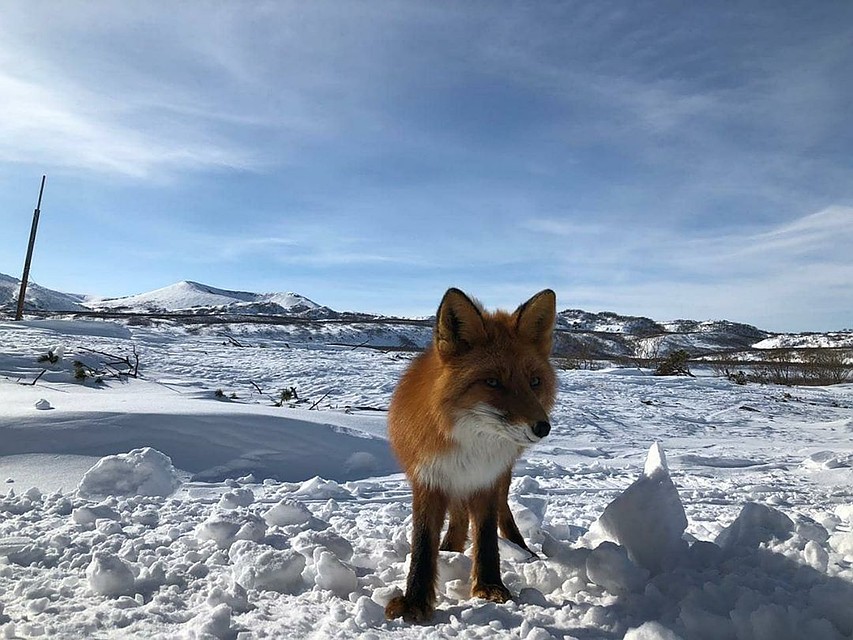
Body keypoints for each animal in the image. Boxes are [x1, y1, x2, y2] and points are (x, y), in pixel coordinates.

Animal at [382, 288, 556, 624]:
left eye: (534, 382)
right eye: (492, 382)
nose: (542, 427)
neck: (472, 445)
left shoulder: (486, 480)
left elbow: (487, 538)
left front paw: (490, 586)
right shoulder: (429, 479)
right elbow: (423, 543)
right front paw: (415, 601)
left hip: (502, 478)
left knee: (502, 513)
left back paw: (522, 550)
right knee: (459, 517)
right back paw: (450, 550)